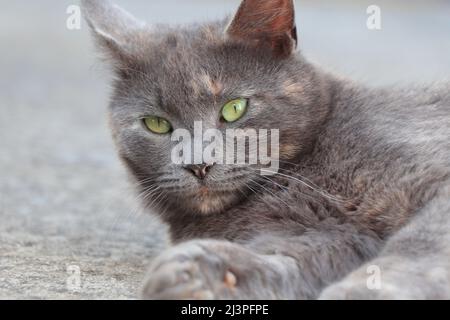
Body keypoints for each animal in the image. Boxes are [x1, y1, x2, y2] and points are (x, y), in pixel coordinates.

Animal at [82, 0, 450, 300]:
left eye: (234, 108)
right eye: (157, 124)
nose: (198, 164)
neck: (301, 174)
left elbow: (421, 245)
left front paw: (361, 292)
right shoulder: (316, 233)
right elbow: (291, 257)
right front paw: (198, 275)